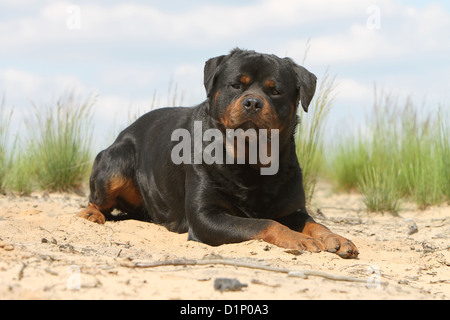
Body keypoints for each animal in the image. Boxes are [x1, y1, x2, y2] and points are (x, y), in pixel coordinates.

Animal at [77, 48, 358, 258]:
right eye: (235, 85)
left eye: (275, 90)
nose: (253, 102)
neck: (251, 160)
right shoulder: (206, 217)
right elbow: (264, 223)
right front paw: (297, 238)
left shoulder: (293, 210)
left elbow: (314, 223)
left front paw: (336, 237)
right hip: (117, 160)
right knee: (97, 197)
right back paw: (91, 214)